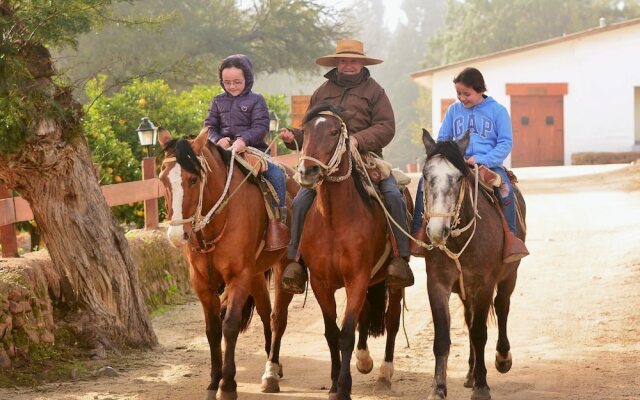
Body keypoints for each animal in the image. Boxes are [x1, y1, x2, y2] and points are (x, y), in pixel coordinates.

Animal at [158, 128, 298, 400]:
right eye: (162, 179)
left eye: (193, 179)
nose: (177, 235)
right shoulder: (202, 282)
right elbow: (213, 329)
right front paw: (214, 382)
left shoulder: (238, 276)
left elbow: (230, 325)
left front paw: (228, 385)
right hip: (256, 275)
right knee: (265, 312)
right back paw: (272, 365)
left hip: (280, 267)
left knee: (278, 317)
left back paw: (272, 370)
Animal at [296, 104, 404, 400]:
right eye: (304, 131)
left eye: (334, 132)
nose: (308, 171)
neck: (334, 220)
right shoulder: (321, 283)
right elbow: (332, 333)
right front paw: (335, 383)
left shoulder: (356, 278)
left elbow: (346, 334)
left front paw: (344, 387)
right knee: (365, 316)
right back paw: (364, 360)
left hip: (393, 283)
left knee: (391, 321)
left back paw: (384, 373)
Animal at [418, 130, 528, 400]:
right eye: (426, 175)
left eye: (459, 178)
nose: (437, 231)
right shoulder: (437, 285)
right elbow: (443, 338)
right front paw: (438, 389)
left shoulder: (484, 285)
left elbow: (480, 333)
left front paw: (482, 386)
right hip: (465, 290)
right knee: (468, 319)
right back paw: (469, 372)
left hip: (509, 276)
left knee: (502, 307)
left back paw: (502, 359)